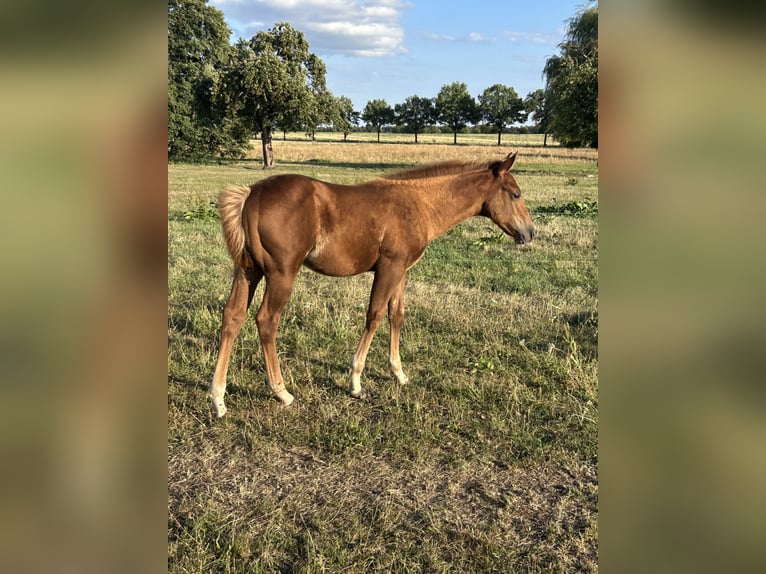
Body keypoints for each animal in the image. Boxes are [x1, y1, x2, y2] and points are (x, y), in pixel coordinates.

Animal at [209, 151, 534, 417]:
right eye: (515, 194)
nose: (530, 233)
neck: (420, 203)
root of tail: (251, 194)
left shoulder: (401, 270)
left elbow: (396, 315)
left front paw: (399, 373)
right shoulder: (389, 267)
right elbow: (375, 315)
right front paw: (355, 382)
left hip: (248, 270)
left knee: (233, 317)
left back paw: (218, 398)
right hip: (281, 273)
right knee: (267, 320)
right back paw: (281, 392)